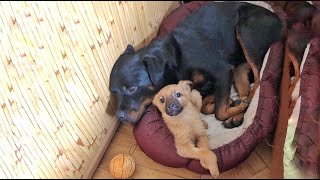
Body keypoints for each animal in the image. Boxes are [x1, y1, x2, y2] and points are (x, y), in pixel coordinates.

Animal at [109, 1, 282, 128]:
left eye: (132, 89)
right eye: (114, 93)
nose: (120, 116)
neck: (174, 59)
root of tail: (280, 20)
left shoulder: (222, 72)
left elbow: (219, 112)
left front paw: (230, 106)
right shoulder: (213, 83)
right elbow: (205, 107)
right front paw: (229, 103)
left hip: (246, 31)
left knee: (259, 81)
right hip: (239, 69)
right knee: (247, 89)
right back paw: (238, 114)